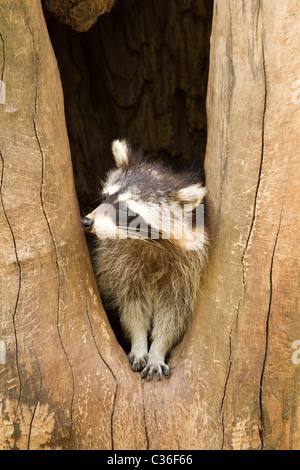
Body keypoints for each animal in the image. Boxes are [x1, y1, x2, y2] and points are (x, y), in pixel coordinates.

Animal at [82, 139, 209, 378]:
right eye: (106, 197)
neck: (147, 242)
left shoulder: (189, 267)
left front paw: (158, 350)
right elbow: (132, 303)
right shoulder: (119, 261)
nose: (86, 222)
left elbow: (174, 310)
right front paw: (139, 342)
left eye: (126, 210)